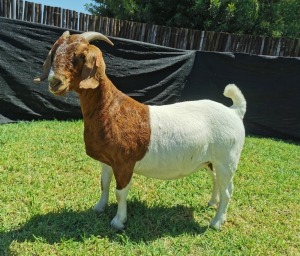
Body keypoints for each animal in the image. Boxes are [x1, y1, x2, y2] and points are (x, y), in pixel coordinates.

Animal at [34, 31, 246, 231]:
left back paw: (216, 222)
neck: (111, 108)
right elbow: (104, 183)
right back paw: (213, 204)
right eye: (55, 52)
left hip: (227, 159)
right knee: (218, 182)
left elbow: (120, 193)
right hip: (211, 161)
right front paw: (99, 207)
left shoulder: (124, 162)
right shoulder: (107, 160)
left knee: (228, 190)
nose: (55, 81)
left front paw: (118, 222)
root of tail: (235, 111)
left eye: (80, 55)